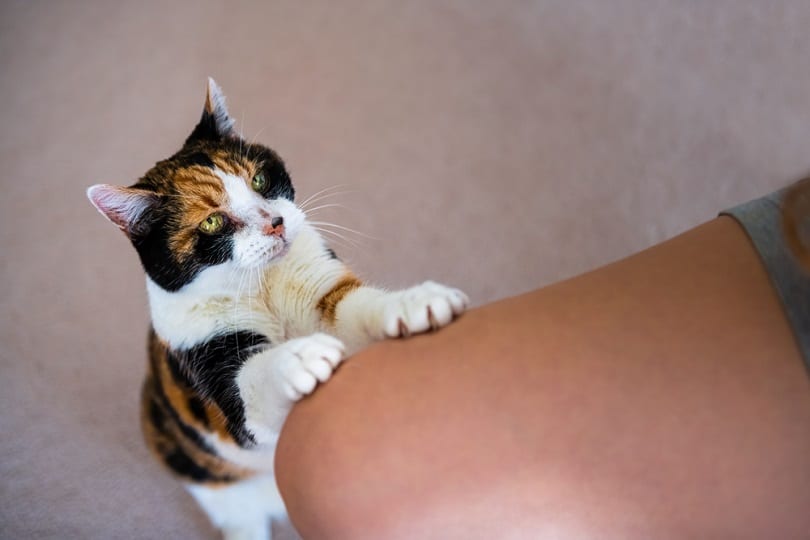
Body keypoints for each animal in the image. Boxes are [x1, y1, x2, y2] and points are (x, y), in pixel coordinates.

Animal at [87, 79, 468, 540]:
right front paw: (301, 358)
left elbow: (361, 307)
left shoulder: (324, 288)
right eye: (212, 222)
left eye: (260, 178)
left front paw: (415, 302)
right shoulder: (212, 367)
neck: (261, 287)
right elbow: (253, 381)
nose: (276, 223)